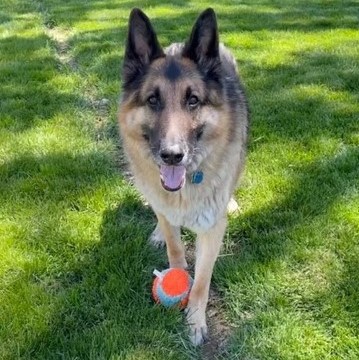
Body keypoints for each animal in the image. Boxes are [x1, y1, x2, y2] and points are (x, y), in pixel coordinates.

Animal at [119, 8, 249, 346]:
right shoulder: (167, 209)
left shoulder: (212, 230)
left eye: (193, 100)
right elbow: (175, 249)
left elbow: (202, 282)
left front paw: (195, 321)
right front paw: (176, 277)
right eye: (152, 100)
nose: (172, 155)